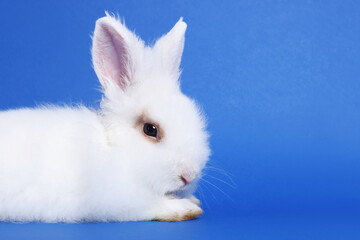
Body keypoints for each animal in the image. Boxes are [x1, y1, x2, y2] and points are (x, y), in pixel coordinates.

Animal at [0, 13, 210, 222]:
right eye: (150, 129)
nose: (189, 175)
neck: (118, 151)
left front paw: (192, 199)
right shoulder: (119, 198)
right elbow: (150, 203)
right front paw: (185, 208)